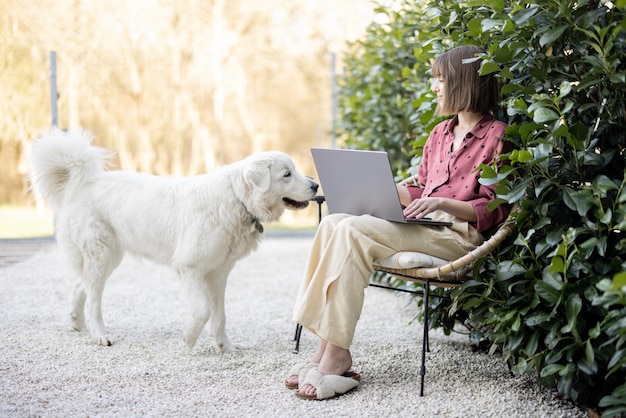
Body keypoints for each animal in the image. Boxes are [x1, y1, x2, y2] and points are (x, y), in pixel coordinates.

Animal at [28, 129, 316, 352]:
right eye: (287, 174)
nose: (314, 185)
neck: (237, 199)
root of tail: (86, 181)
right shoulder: (190, 269)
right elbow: (202, 311)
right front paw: (188, 340)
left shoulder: (218, 274)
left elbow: (220, 315)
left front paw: (225, 347)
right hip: (102, 253)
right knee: (94, 298)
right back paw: (99, 335)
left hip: (108, 256)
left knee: (82, 285)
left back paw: (77, 322)